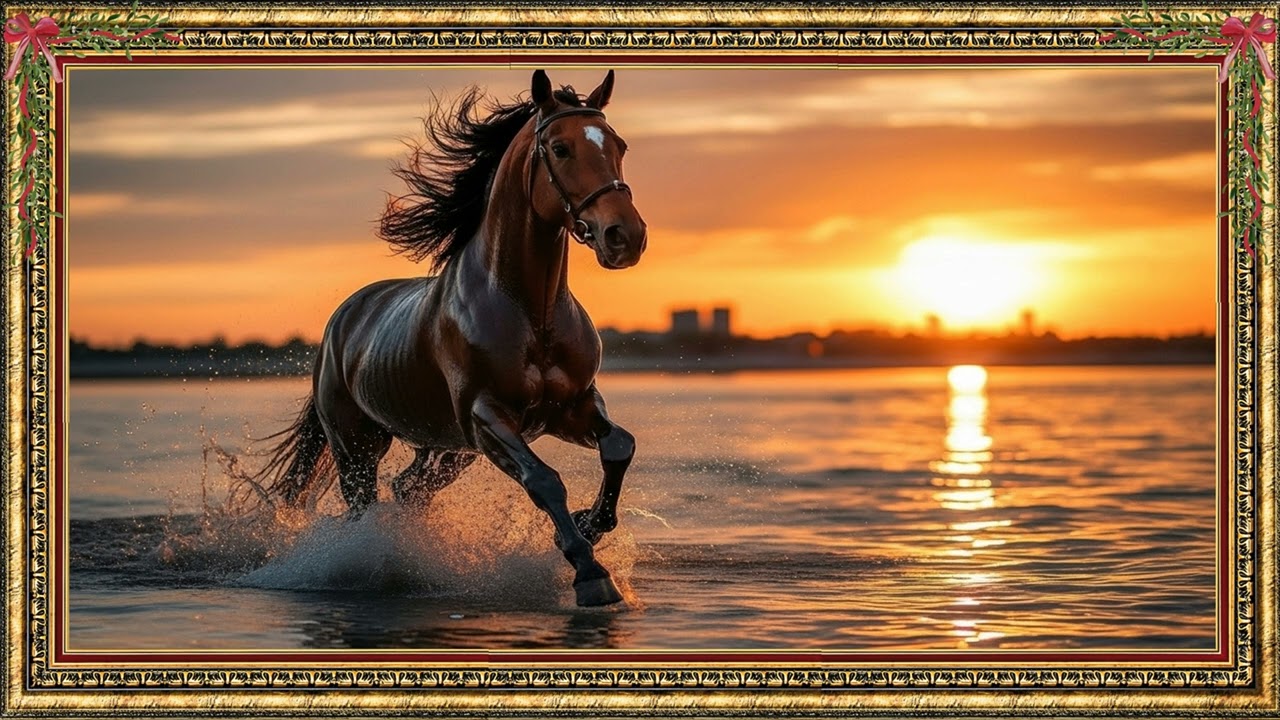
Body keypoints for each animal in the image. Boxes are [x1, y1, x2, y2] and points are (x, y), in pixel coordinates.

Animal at [255, 70, 647, 607]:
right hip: (357, 446)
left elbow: (620, 447)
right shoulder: (487, 417)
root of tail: (343, 320)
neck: (531, 312)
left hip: (447, 452)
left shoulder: (572, 407)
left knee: (407, 490)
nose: (624, 237)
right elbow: (544, 480)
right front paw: (590, 572)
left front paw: (589, 525)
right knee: (363, 505)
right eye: (561, 148)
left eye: (619, 145)